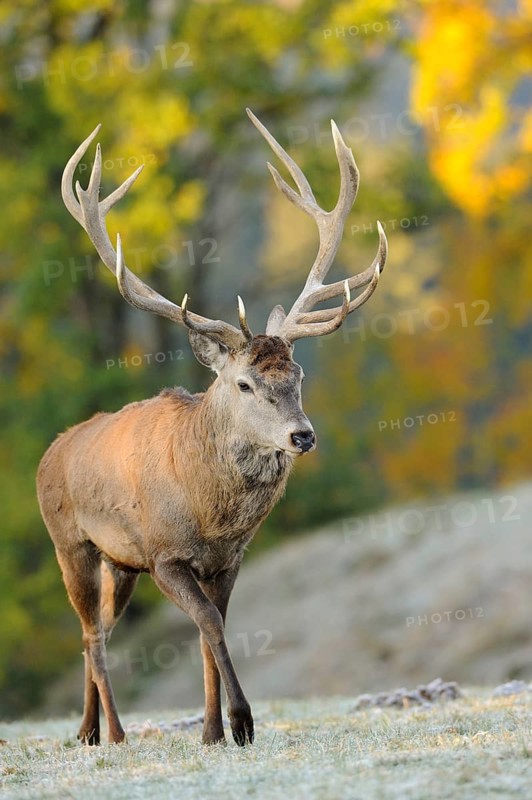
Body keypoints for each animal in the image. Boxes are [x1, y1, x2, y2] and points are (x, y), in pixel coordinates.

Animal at [36, 108, 387, 748]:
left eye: (298, 373)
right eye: (244, 383)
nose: (302, 435)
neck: (210, 516)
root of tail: (52, 451)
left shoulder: (227, 559)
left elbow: (209, 631)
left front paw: (211, 731)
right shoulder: (165, 553)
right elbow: (210, 626)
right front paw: (242, 722)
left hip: (119, 563)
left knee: (92, 631)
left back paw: (87, 731)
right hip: (70, 541)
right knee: (93, 635)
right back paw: (117, 733)